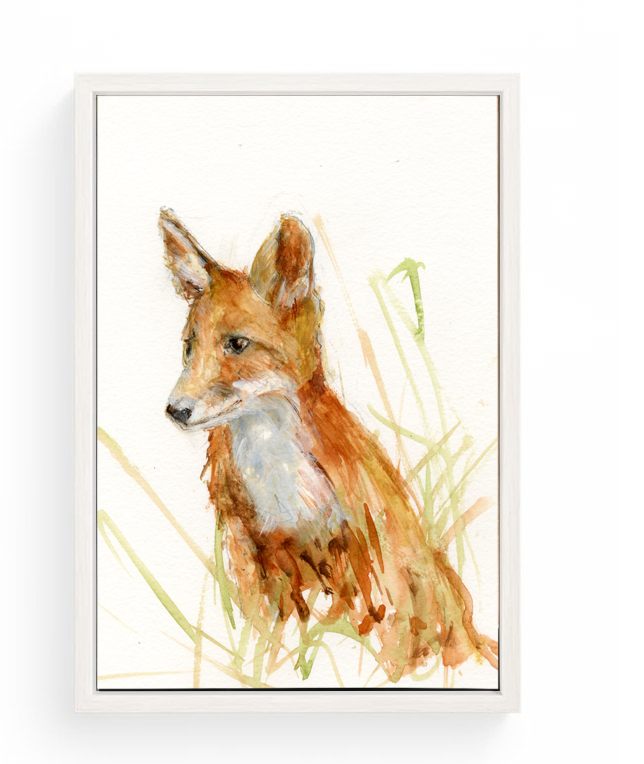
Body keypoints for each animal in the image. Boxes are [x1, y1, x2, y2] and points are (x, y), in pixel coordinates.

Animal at [159, 207, 498, 682]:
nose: (175, 410)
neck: (277, 483)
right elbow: (263, 638)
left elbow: (369, 636)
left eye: (237, 344)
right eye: (189, 347)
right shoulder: (252, 553)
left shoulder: (356, 552)